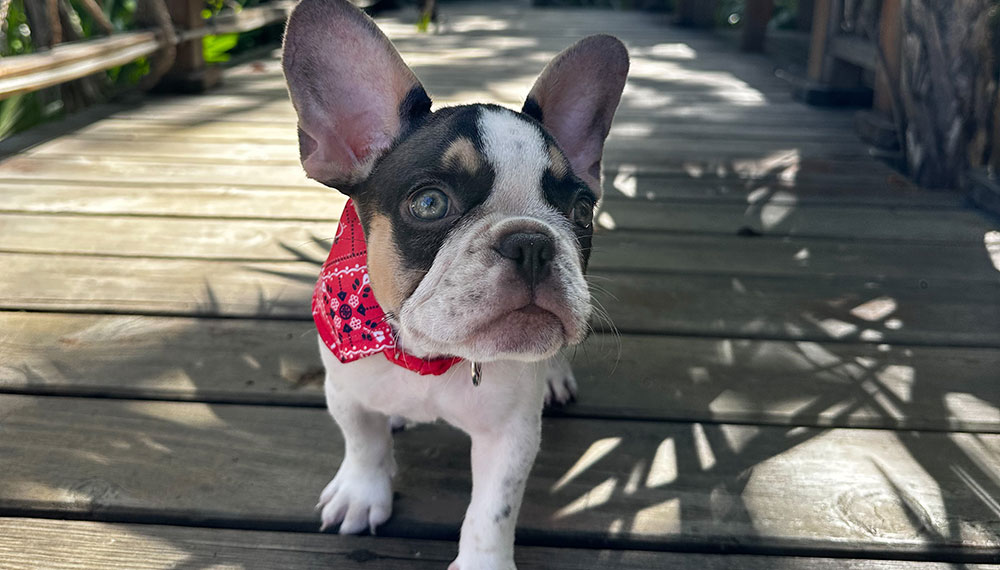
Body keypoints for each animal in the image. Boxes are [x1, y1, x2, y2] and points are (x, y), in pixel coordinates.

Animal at [282, 2, 624, 564]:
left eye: (580, 211)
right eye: (429, 203)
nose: (532, 242)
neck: (430, 358)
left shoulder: (510, 435)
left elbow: (492, 510)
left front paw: (483, 562)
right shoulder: (345, 390)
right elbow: (362, 441)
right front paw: (360, 493)